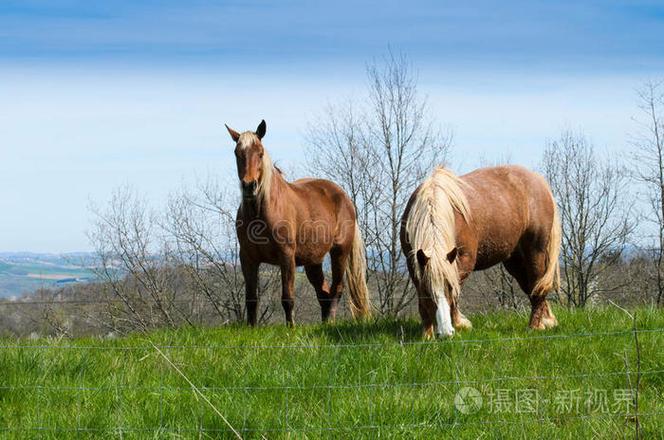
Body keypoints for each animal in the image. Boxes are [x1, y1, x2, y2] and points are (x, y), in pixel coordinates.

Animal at [224, 120, 371, 326]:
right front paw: (252, 328)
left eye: (260, 153)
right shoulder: (247, 258)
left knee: (337, 289)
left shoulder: (286, 256)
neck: (262, 211)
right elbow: (251, 299)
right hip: (313, 261)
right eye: (237, 153)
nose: (249, 186)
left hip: (339, 253)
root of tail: (345, 198)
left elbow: (288, 297)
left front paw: (291, 327)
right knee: (323, 292)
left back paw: (330, 322)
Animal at [400, 165, 561, 338]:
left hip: (535, 251)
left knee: (538, 285)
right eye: (427, 290)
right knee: (531, 286)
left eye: (449, 288)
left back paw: (535, 326)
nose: (446, 333)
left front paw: (460, 324)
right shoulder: (413, 264)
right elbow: (422, 300)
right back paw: (547, 321)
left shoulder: (463, 260)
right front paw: (427, 334)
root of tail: (540, 181)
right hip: (516, 261)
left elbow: (456, 292)